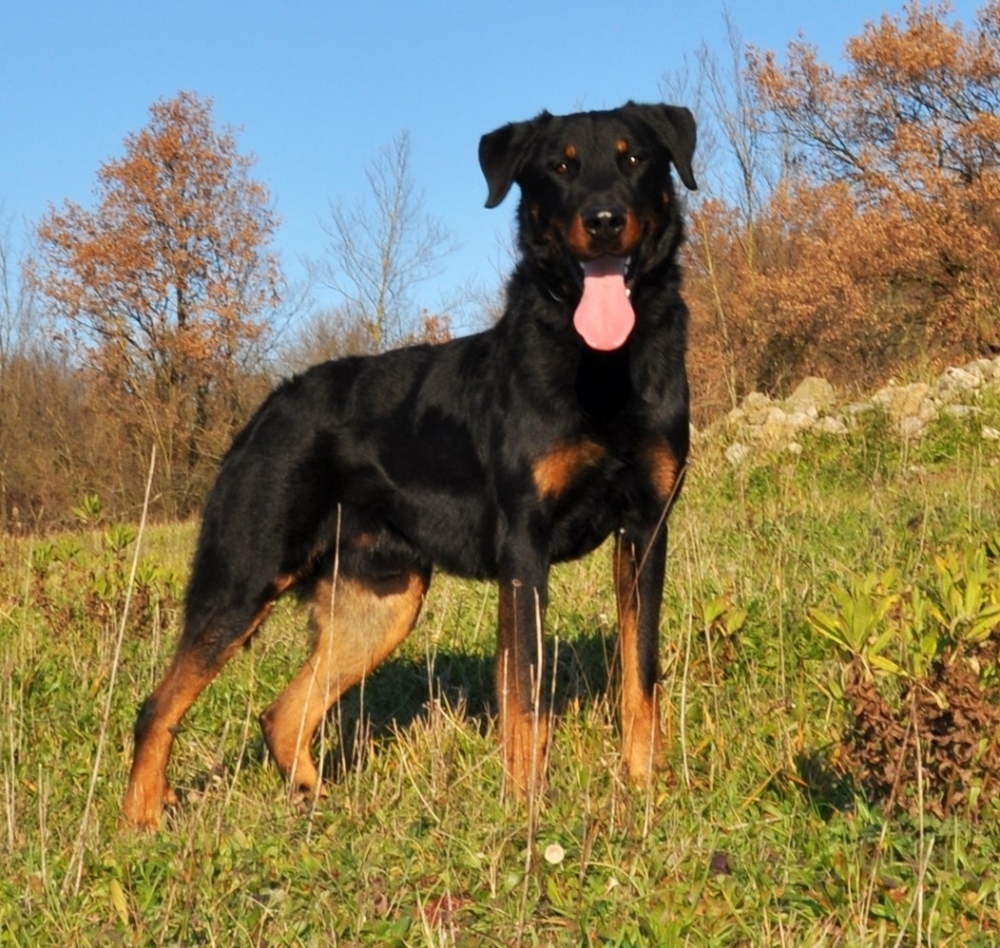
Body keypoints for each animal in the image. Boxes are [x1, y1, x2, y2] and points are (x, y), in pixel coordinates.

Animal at [123, 102, 696, 828]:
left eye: (634, 159)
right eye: (560, 167)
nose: (602, 221)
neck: (601, 367)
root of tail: (266, 410)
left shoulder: (646, 532)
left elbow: (639, 675)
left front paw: (644, 787)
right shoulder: (525, 545)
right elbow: (526, 692)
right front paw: (527, 807)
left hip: (381, 603)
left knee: (283, 715)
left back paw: (317, 806)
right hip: (244, 578)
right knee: (157, 706)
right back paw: (141, 822)